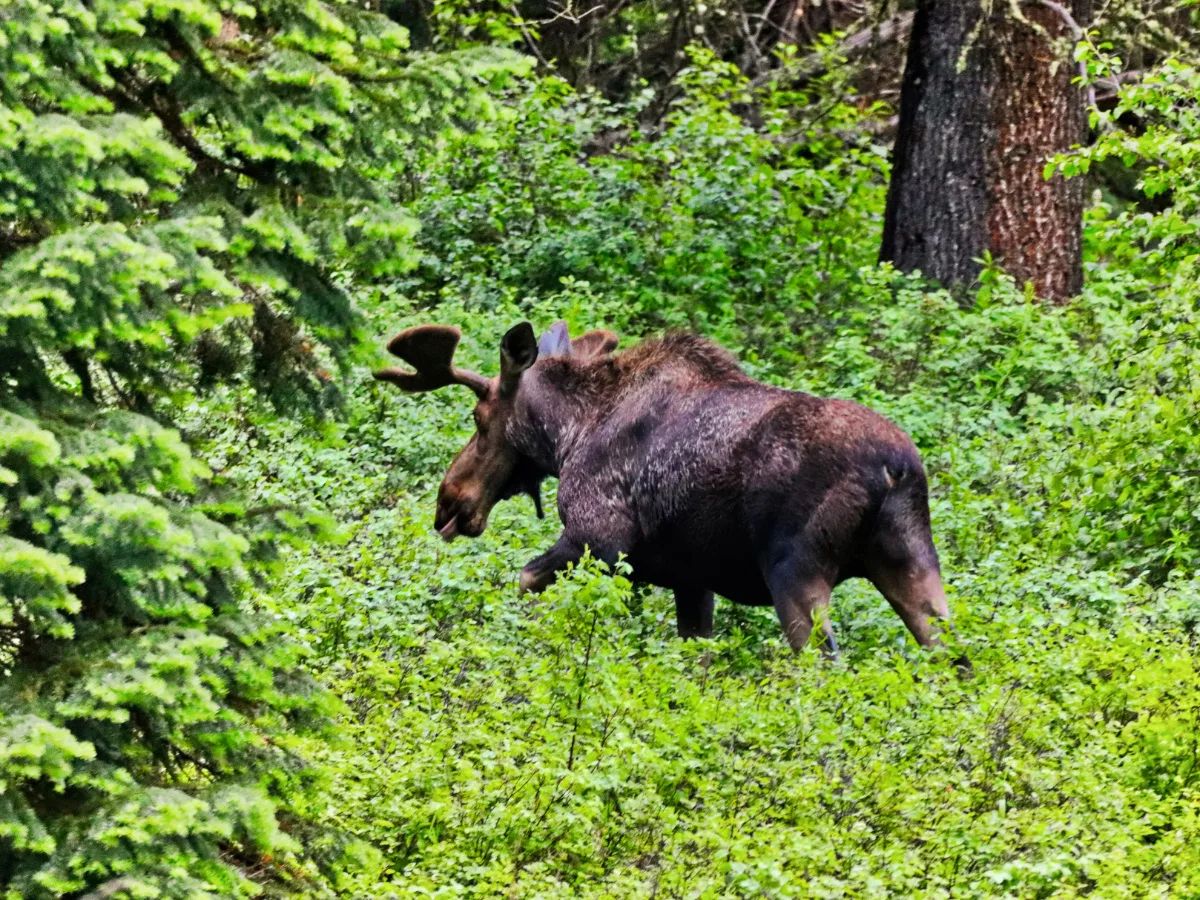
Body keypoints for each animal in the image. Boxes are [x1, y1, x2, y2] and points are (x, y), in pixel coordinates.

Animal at [374, 321, 955, 657]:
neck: (567, 435)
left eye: (478, 419)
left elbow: (524, 579)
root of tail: (897, 469)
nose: (449, 501)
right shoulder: (690, 578)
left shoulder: (598, 537)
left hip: (796, 569)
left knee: (823, 661)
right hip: (911, 564)